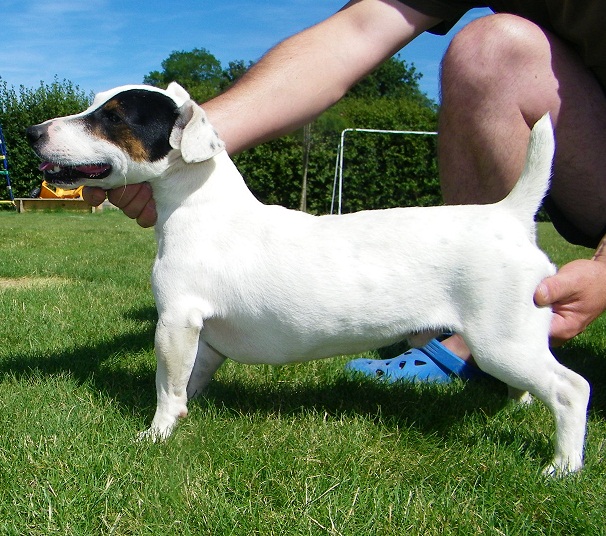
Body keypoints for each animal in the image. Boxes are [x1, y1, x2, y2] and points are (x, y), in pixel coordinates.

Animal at [27, 82, 590, 475]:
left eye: (113, 117)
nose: (32, 133)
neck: (199, 204)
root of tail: (511, 215)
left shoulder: (176, 321)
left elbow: (168, 384)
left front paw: (157, 433)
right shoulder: (204, 338)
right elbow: (192, 378)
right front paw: (188, 412)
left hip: (501, 340)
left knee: (571, 389)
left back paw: (562, 466)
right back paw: (513, 410)